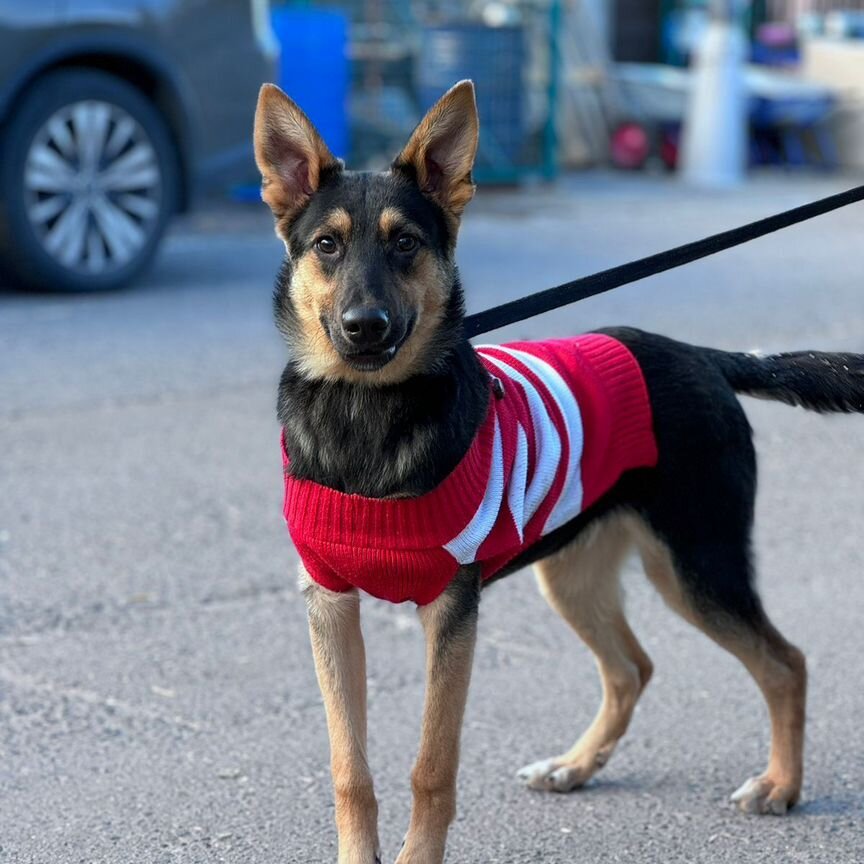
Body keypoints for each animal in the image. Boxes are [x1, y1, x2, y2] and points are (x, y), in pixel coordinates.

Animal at [253, 77, 864, 860]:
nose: (366, 328)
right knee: (632, 668)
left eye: (406, 244)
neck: (365, 417)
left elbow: (431, 767)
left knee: (785, 663)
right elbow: (349, 771)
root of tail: (702, 355)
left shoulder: (450, 613)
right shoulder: (329, 605)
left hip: (698, 567)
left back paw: (781, 785)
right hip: (574, 573)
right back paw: (575, 766)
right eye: (326, 245)